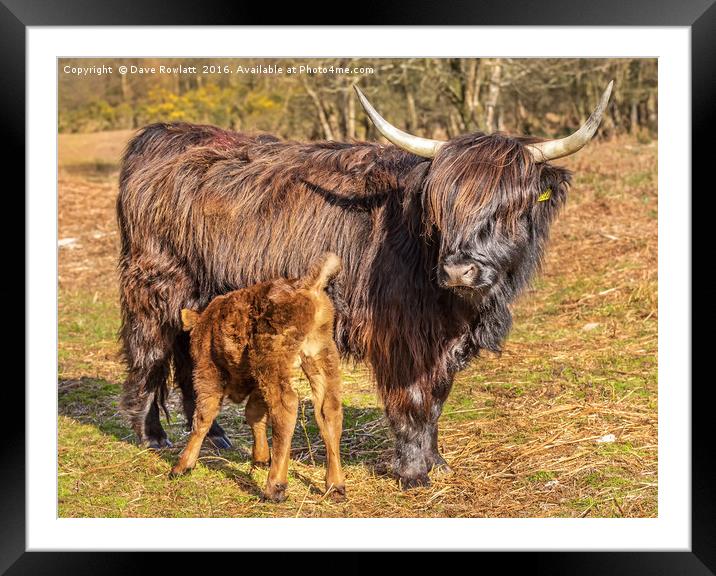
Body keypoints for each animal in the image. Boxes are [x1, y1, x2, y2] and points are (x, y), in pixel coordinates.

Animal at [169, 254, 346, 502]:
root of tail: (307, 286)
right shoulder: (256, 384)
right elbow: (254, 414)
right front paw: (261, 458)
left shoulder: (209, 373)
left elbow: (203, 416)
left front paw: (182, 466)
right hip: (320, 357)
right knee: (328, 410)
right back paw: (335, 486)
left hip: (272, 365)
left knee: (285, 408)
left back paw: (275, 487)